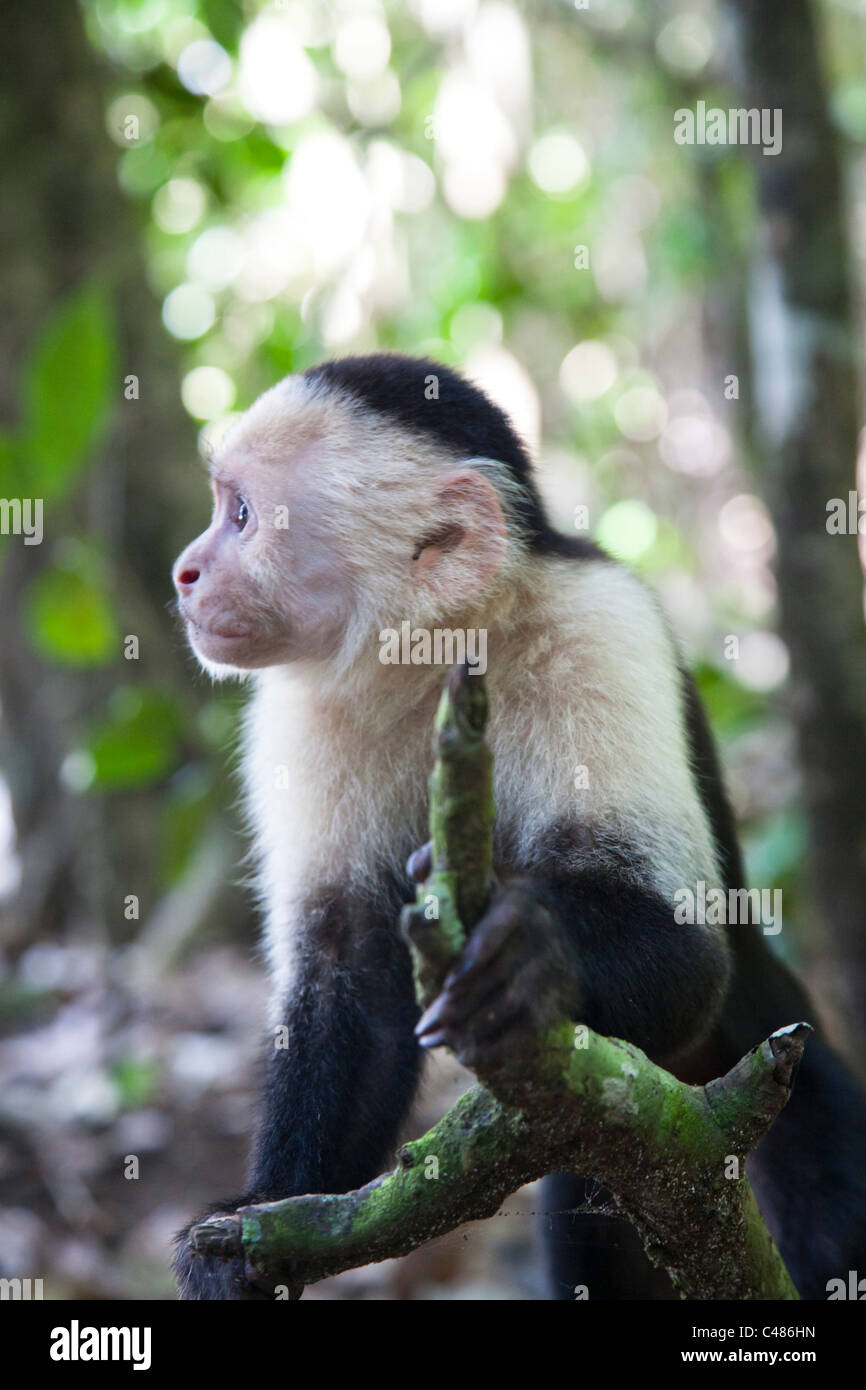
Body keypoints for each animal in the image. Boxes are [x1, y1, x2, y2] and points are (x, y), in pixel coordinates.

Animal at [173, 353, 866, 1295]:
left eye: (240, 516)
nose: (185, 572)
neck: (439, 647)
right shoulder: (305, 713)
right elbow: (354, 968)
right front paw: (255, 1220)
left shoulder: (600, 630)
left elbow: (688, 949)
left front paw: (531, 955)